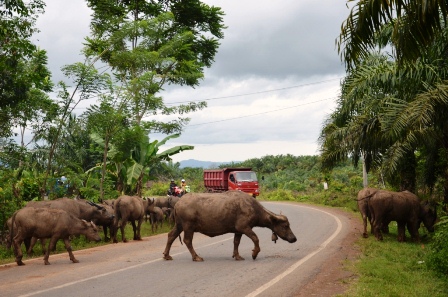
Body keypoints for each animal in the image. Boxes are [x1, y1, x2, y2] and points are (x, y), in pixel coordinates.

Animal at [162, 191, 298, 260]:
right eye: (286, 226)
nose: (294, 238)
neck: (253, 208)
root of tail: (178, 203)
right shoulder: (244, 228)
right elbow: (255, 238)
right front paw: (254, 253)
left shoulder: (238, 231)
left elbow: (236, 242)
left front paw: (237, 255)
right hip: (188, 226)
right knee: (187, 240)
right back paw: (196, 257)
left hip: (179, 225)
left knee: (171, 236)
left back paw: (167, 255)